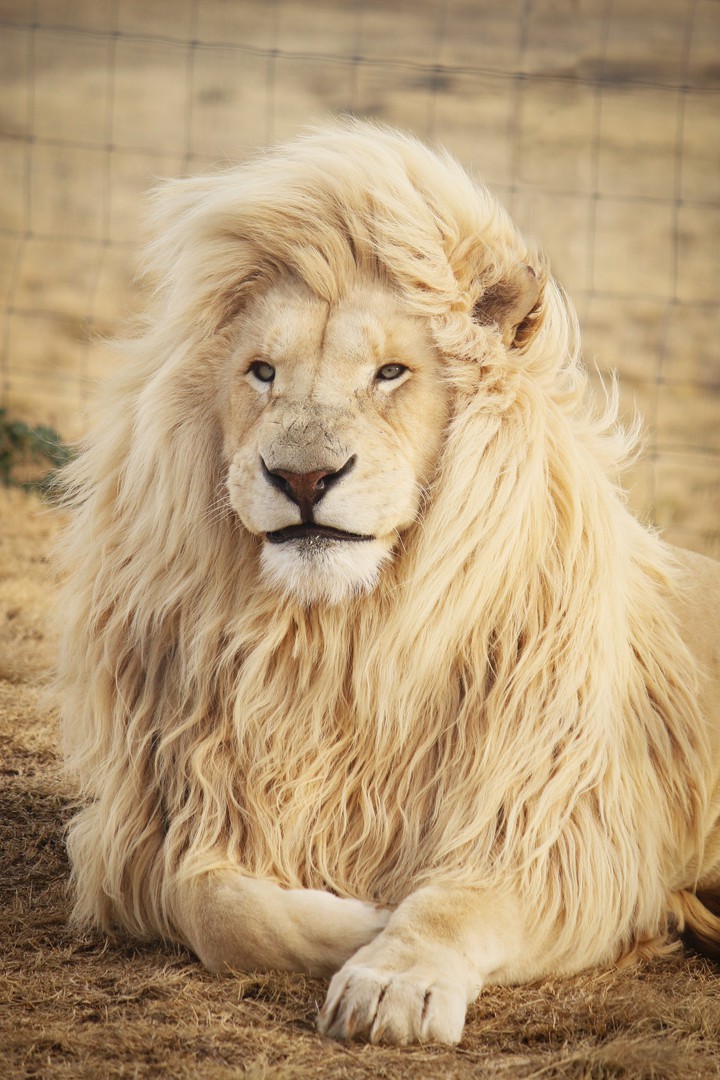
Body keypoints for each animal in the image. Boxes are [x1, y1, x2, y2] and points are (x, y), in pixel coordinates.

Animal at [57, 119, 720, 1047]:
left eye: (391, 373)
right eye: (262, 371)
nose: (302, 477)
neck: (338, 641)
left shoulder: (559, 832)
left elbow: (454, 903)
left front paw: (390, 976)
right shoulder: (160, 824)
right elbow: (218, 906)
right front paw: (361, 920)